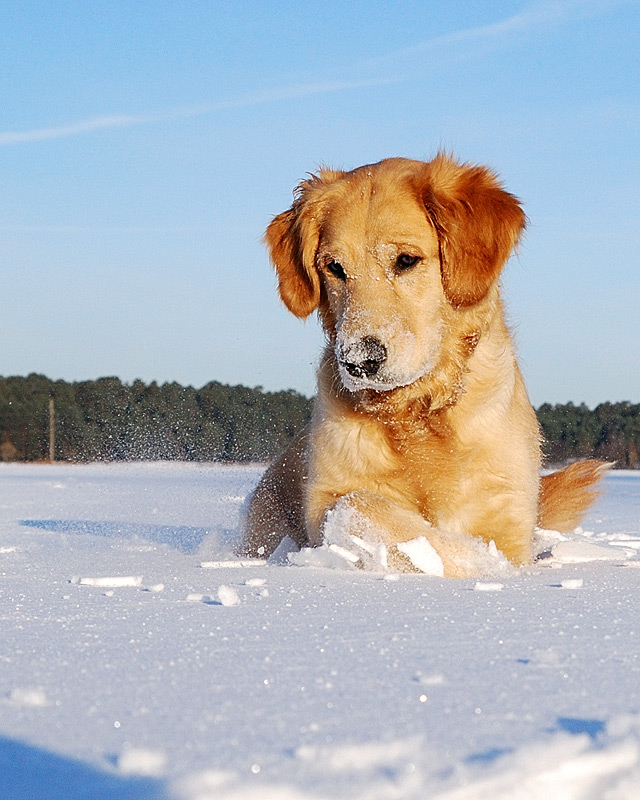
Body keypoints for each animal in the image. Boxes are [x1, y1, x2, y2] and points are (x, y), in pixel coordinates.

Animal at [240, 153, 604, 576]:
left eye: (406, 260)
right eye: (334, 268)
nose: (358, 361)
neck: (418, 411)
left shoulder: (508, 510)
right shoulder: (325, 496)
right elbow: (355, 504)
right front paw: (470, 557)